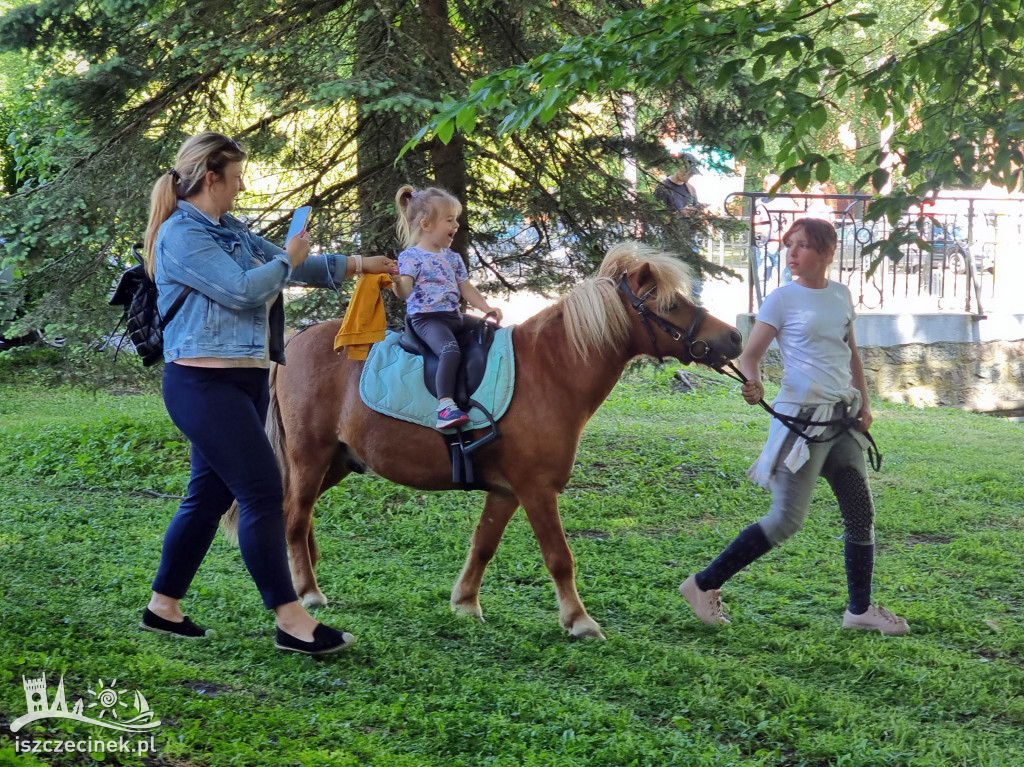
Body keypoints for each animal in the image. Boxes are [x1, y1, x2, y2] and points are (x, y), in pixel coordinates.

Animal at [240, 242, 741, 638]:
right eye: (671, 305)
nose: (735, 338)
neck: (550, 371)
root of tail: (297, 340)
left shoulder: (505, 492)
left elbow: (482, 546)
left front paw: (465, 603)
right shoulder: (537, 490)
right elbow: (559, 557)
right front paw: (580, 621)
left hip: (338, 462)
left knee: (294, 512)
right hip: (310, 455)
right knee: (294, 516)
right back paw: (308, 592)